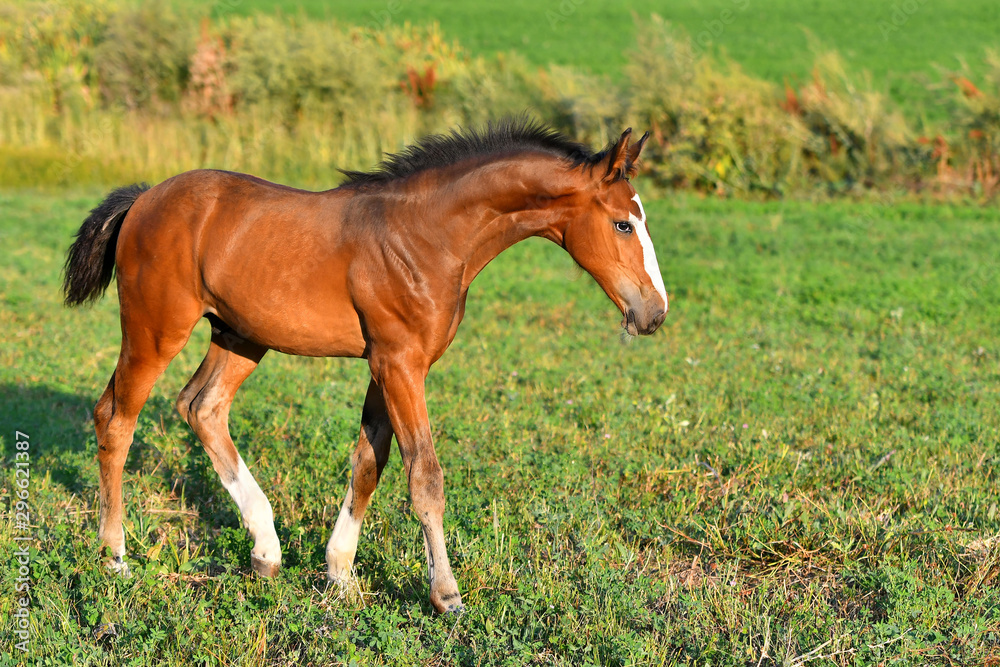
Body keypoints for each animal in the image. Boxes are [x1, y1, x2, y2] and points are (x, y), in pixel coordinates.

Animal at [63, 119, 668, 614]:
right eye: (622, 224)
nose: (654, 312)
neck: (427, 235)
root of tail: (144, 198)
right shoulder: (400, 364)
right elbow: (424, 476)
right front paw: (446, 595)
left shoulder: (387, 365)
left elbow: (368, 463)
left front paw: (340, 574)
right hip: (155, 330)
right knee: (115, 418)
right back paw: (115, 557)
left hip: (240, 336)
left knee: (202, 407)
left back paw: (266, 552)